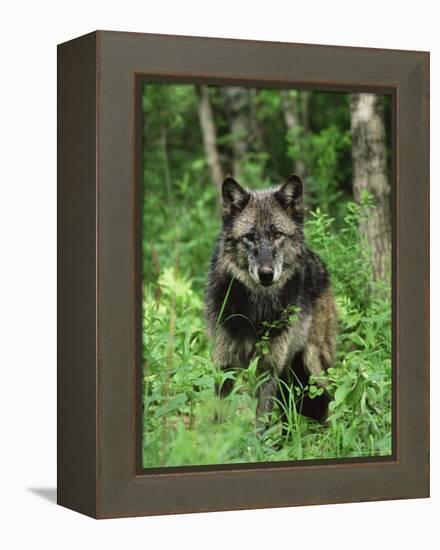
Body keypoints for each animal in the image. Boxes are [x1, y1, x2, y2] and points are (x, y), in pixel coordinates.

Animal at [204, 175, 336, 424]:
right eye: (249, 237)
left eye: (277, 235)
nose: (266, 274)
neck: (255, 311)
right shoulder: (224, 363)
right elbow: (219, 414)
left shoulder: (268, 368)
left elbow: (261, 422)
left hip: (311, 365)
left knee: (327, 402)